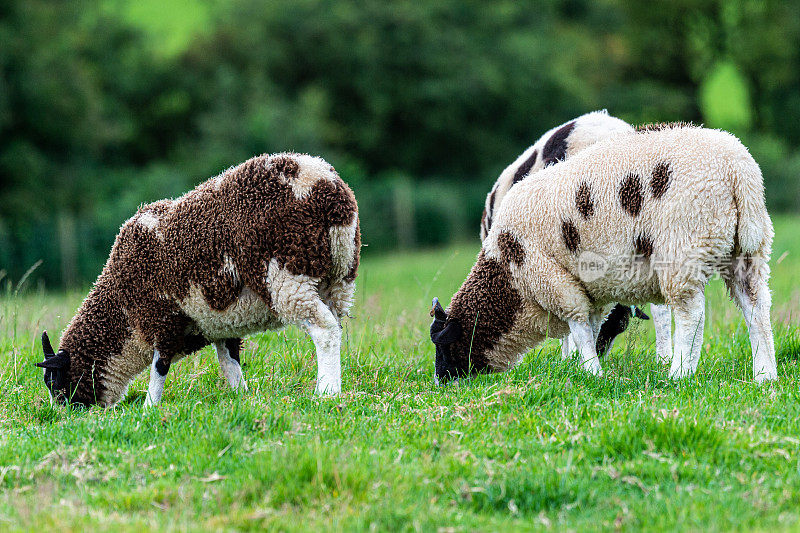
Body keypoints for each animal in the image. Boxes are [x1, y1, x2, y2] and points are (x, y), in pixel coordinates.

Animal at [35, 152, 360, 406]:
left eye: (55, 382)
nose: (68, 417)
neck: (120, 310)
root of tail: (324, 183)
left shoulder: (161, 318)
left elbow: (159, 367)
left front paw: (149, 408)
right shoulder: (221, 325)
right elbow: (230, 364)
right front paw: (242, 398)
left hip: (287, 276)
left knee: (324, 330)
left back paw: (327, 392)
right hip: (339, 279)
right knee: (336, 325)